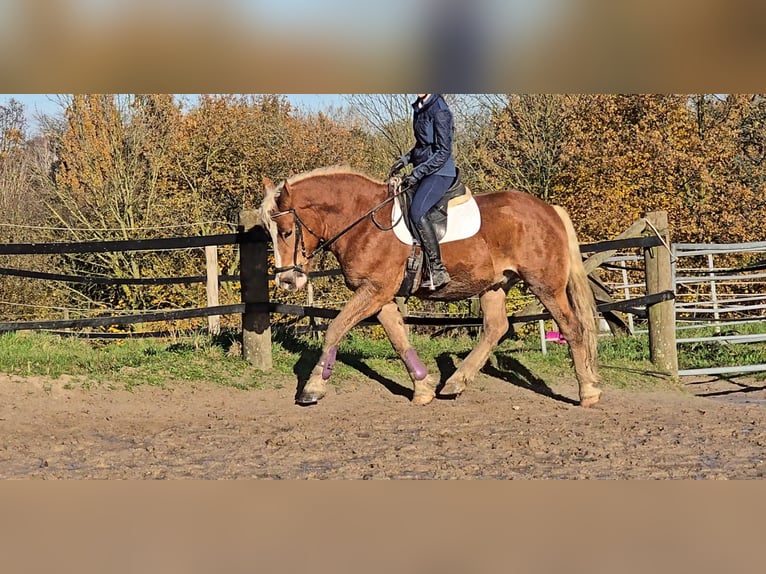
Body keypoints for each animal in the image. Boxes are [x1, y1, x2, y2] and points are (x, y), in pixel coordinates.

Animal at [260, 166, 604, 410]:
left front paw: (312, 388)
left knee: (572, 327)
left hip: (545, 285)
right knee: (495, 327)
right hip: (495, 285)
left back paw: (588, 391)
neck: (364, 222)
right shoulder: (381, 295)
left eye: (287, 231)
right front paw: (423, 388)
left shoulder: (375, 290)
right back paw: (455, 383)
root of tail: (549, 210)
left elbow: (335, 329)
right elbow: (398, 339)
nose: (287, 281)